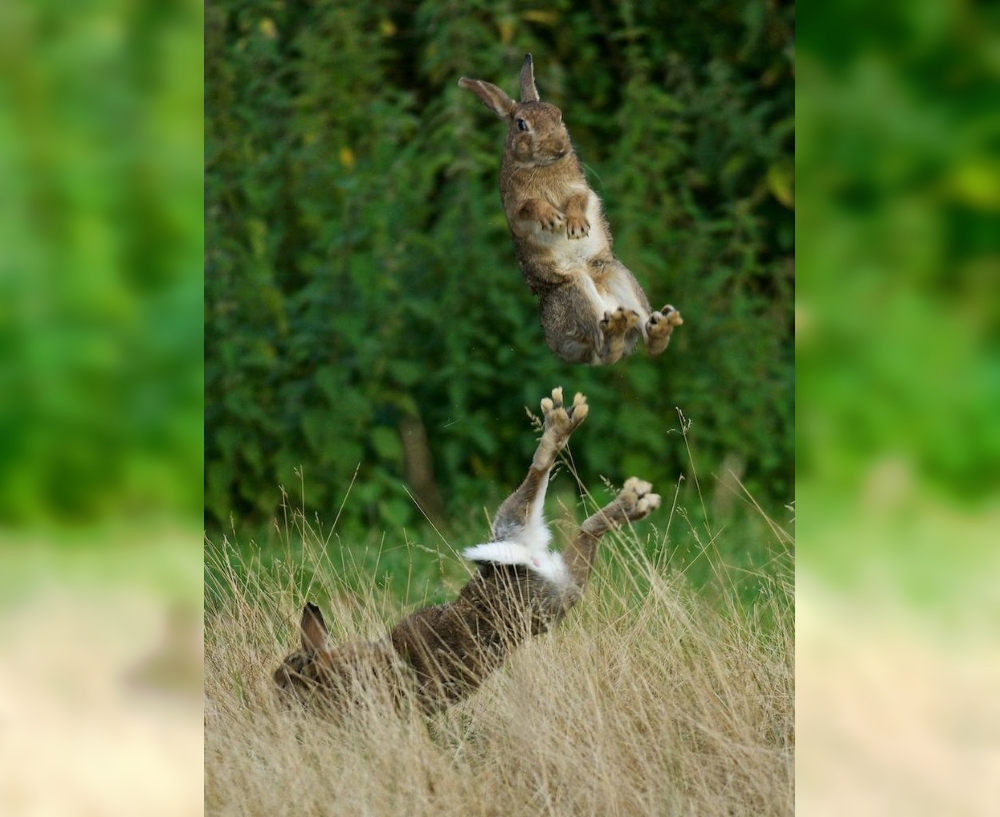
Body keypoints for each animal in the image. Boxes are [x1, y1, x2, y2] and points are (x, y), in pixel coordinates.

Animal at [276, 386, 664, 712]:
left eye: (286, 677)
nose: (274, 692)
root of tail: (528, 559)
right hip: (535, 558)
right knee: (566, 513)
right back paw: (626, 493)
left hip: (547, 592)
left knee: (570, 515)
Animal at [458, 54, 684, 364]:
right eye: (521, 125)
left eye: (559, 115)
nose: (559, 147)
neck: (544, 166)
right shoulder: (515, 208)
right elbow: (532, 205)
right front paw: (553, 219)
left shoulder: (582, 191)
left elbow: (578, 201)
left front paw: (576, 226)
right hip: (575, 288)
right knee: (604, 348)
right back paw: (618, 329)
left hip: (617, 274)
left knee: (644, 341)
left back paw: (656, 325)